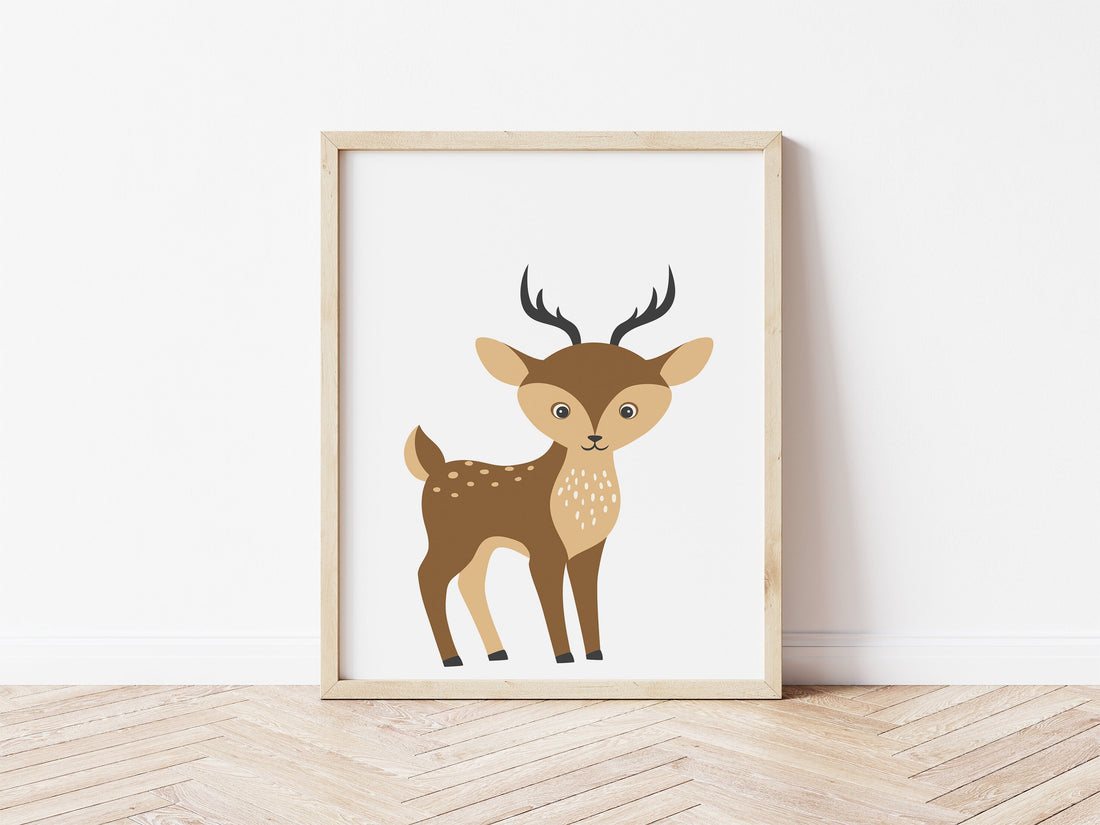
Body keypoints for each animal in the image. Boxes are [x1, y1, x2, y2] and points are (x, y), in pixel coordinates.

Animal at [404, 267, 712, 666]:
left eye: (628, 409)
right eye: (560, 409)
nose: (595, 437)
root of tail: (433, 468)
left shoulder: (589, 550)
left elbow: (586, 598)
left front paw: (595, 654)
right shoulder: (543, 548)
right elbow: (552, 602)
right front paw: (564, 657)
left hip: (480, 544)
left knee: (469, 582)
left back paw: (497, 653)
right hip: (450, 538)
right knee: (427, 577)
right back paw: (452, 659)